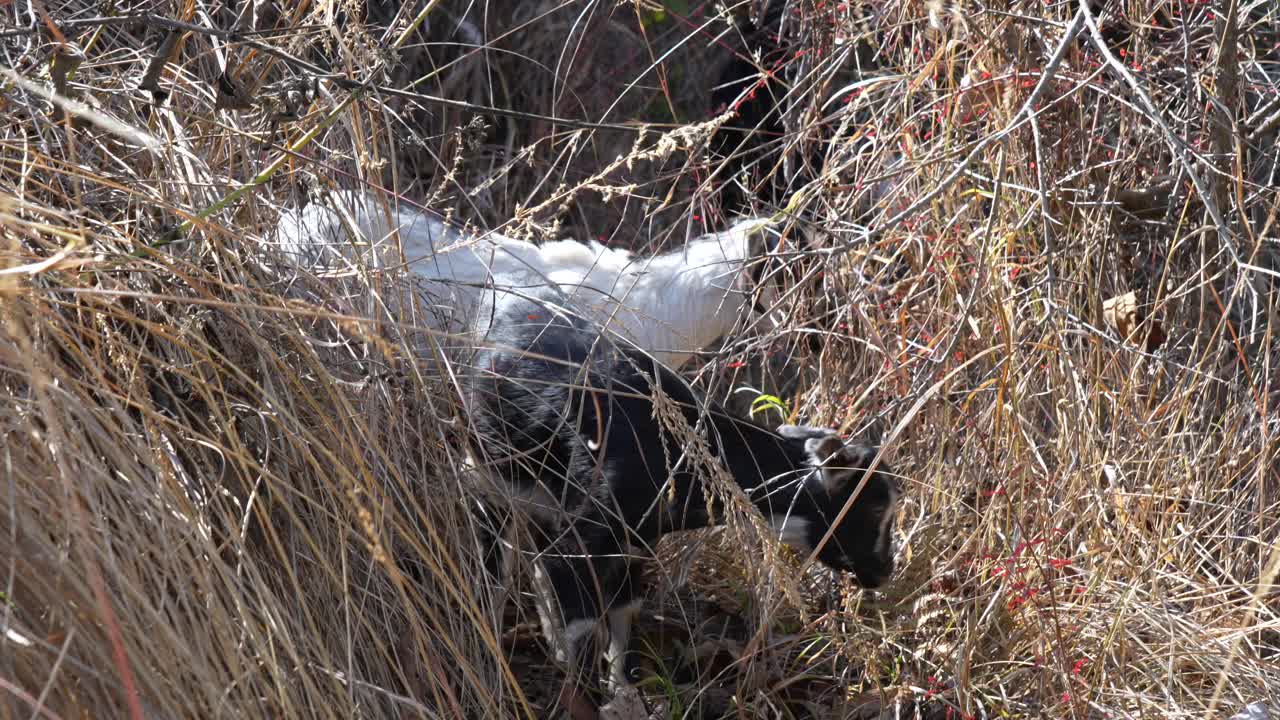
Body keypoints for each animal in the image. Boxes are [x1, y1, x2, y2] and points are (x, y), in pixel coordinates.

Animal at [464, 286, 900, 717]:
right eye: (876, 508)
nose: (883, 572)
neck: (683, 451)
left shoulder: (633, 546)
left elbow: (625, 614)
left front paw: (626, 693)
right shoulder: (582, 543)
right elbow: (585, 630)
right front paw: (585, 702)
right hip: (486, 479)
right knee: (494, 568)